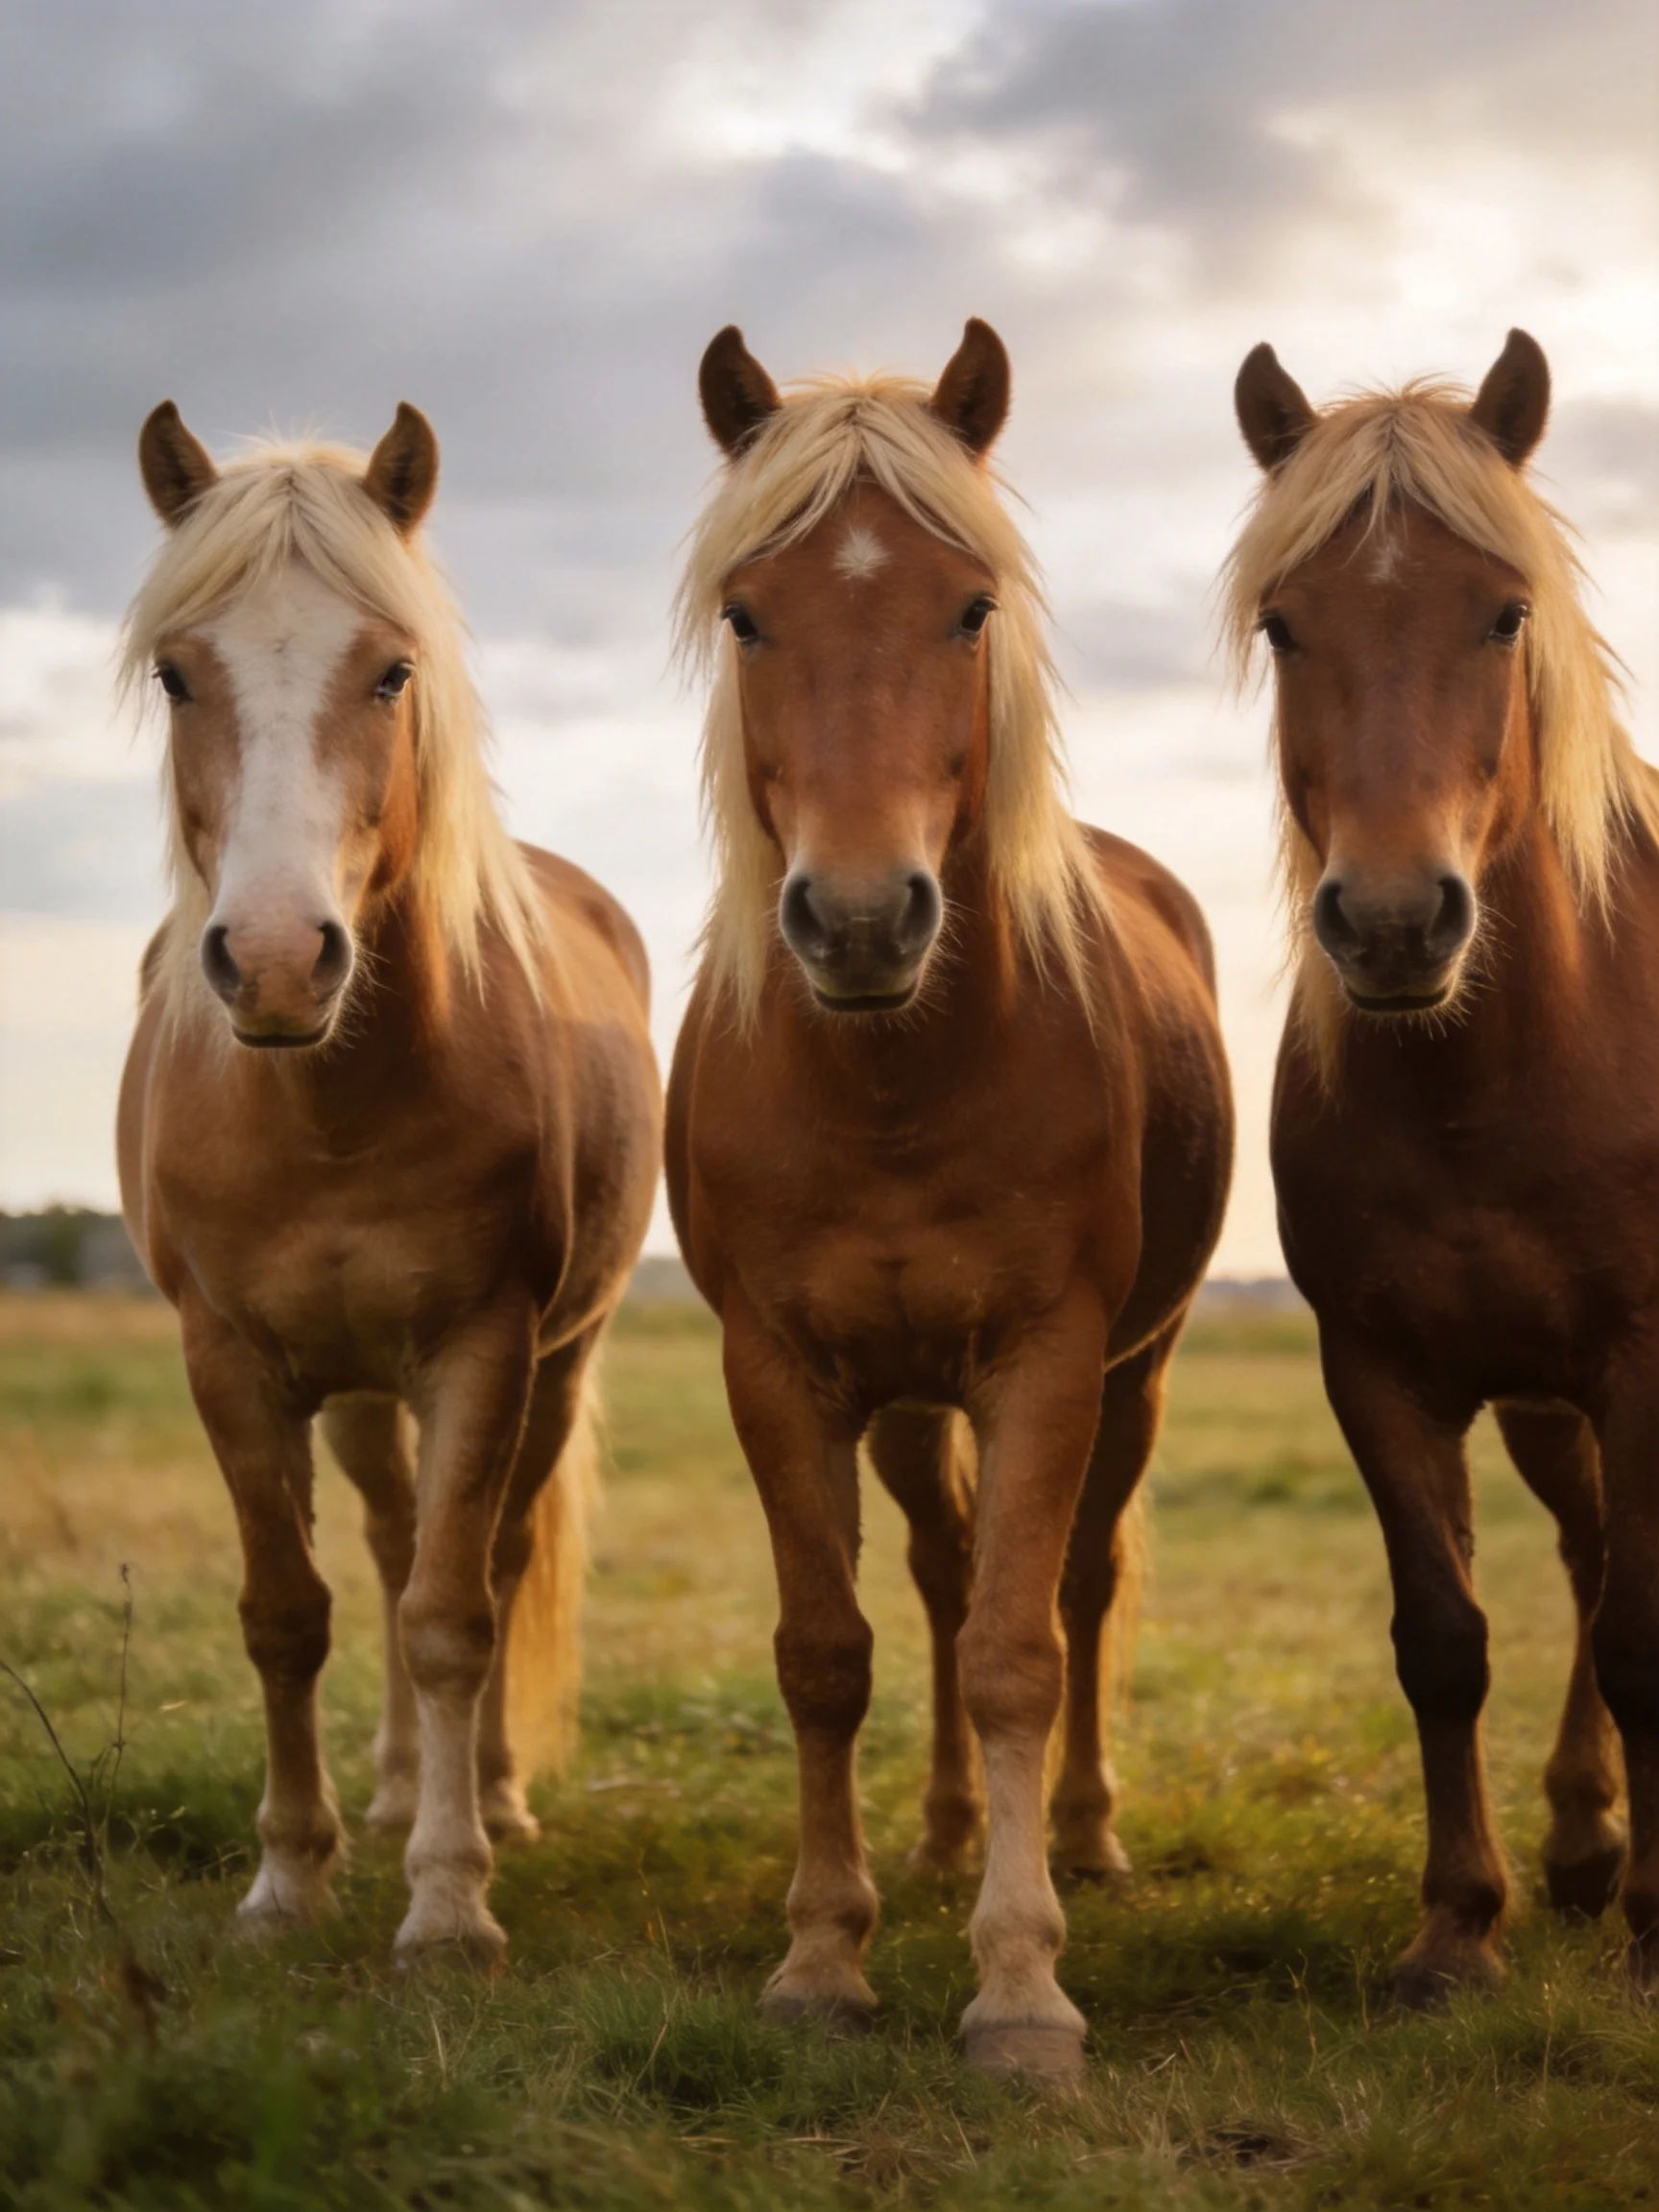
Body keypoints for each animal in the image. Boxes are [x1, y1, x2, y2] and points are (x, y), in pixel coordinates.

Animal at [116, 401, 660, 1961]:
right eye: (178, 672)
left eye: (392, 671)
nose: (275, 960)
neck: (329, 1111)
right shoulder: (231, 1360)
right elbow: (288, 1611)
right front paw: (291, 1876)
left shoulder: (484, 1349)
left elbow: (451, 1616)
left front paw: (451, 1897)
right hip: (359, 1393)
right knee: (387, 1535)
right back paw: (397, 1787)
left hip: (550, 1366)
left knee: (489, 1553)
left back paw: (487, 1798)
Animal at [666, 320, 1233, 2080]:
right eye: (747, 612)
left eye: (968, 607)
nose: (860, 919)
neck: (891, 1080)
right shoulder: (778, 1370)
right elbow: (827, 1650)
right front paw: (822, 1954)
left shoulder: (1048, 1362)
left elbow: (1015, 1648)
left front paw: (1021, 1982)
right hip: (910, 1404)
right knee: (933, 1568)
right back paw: (931, 1838)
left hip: (1133, 1372)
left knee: (1076, 1579)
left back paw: (1085, 1835)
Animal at [1229, 329, 1659, 2003]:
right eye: (1286, 625)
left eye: (1505, 612)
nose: (1399, 921)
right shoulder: (1382, 1369)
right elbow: (1447, 1639)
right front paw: (1457, 1927)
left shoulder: (1642, 1356)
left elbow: (1641, 1632)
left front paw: (1656, 1935)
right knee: (1588, 1557)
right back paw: (1585, 1845)